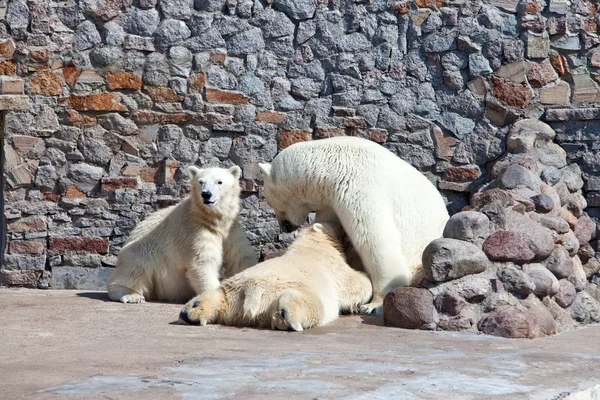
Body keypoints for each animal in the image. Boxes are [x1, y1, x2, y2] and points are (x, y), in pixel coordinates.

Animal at [106, 166, 256, 304]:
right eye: (201, 181)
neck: (211, 219)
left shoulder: (231, 230)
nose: (206, 194)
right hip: (143, 250)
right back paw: (131, 295)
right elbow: (203, 262)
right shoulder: (194, 232)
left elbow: (240, 257)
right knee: (136, 267)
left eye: (219, 182)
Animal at [177, 222, 370, 332]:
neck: (312, 244)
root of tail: (252, 291)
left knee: (217, 295)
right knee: (310, 305)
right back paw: (287, 317)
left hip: (232, 291)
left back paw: (191, 311)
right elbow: (357, 284)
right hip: (297, 291)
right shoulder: (333, 267)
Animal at [258, 136, 450, 314]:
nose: (284, 227)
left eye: (271, 202)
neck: (331, 165)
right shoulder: (331, 200)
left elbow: (374, 240)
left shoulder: (357, 186)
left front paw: (374, 305)